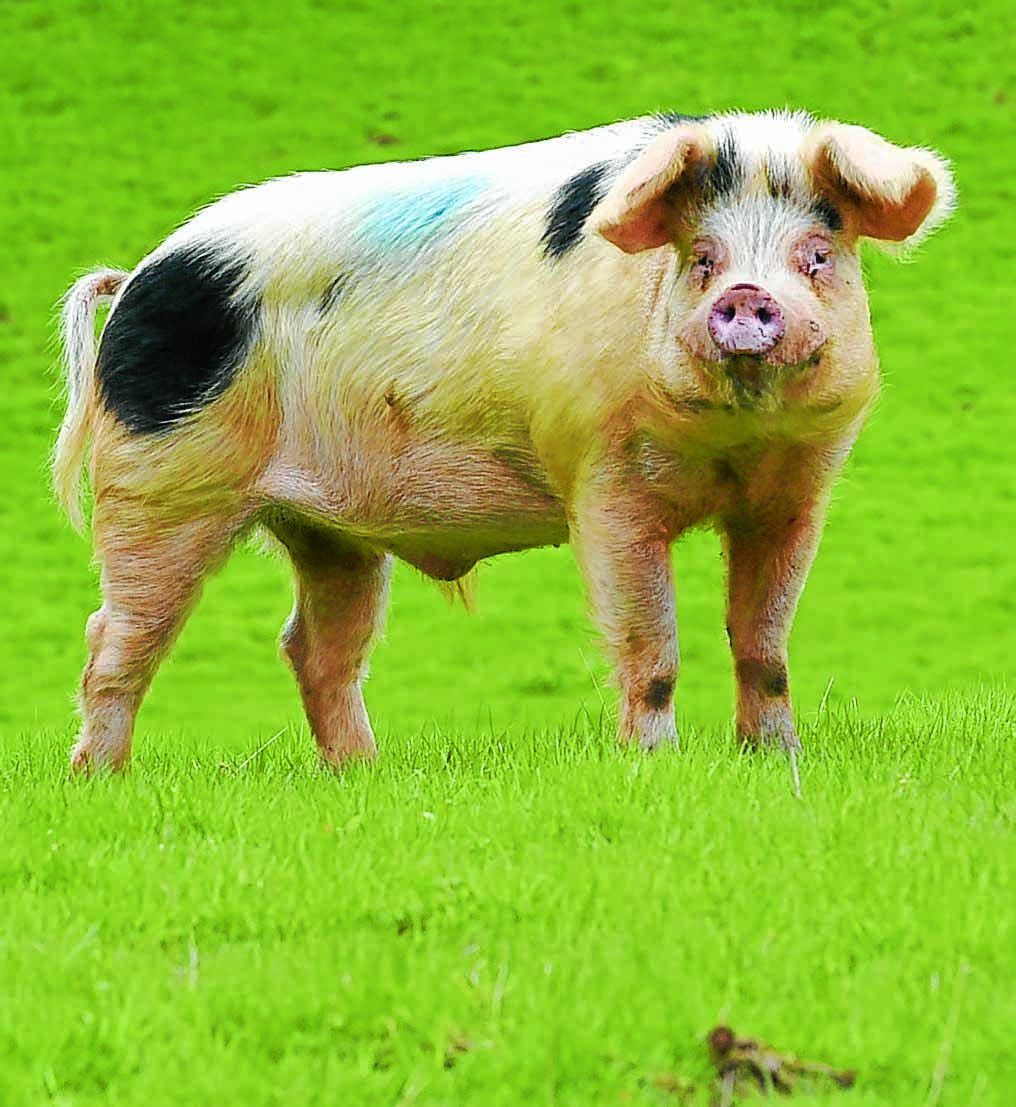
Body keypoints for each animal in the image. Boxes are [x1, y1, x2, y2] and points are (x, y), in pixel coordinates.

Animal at [53, 110, 955, 772]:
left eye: (817, 254)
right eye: (701, 257)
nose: (743, 295)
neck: (734, 442)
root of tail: (135, 277)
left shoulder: (796, 493)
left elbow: (764, 642)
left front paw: (776, 759)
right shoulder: (603, 481)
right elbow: (651, 642)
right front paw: (654, 765)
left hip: (326, 528)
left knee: (316, 647)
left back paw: (362, 773)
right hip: (159, 482)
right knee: (114, 636)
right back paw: (101, 779)